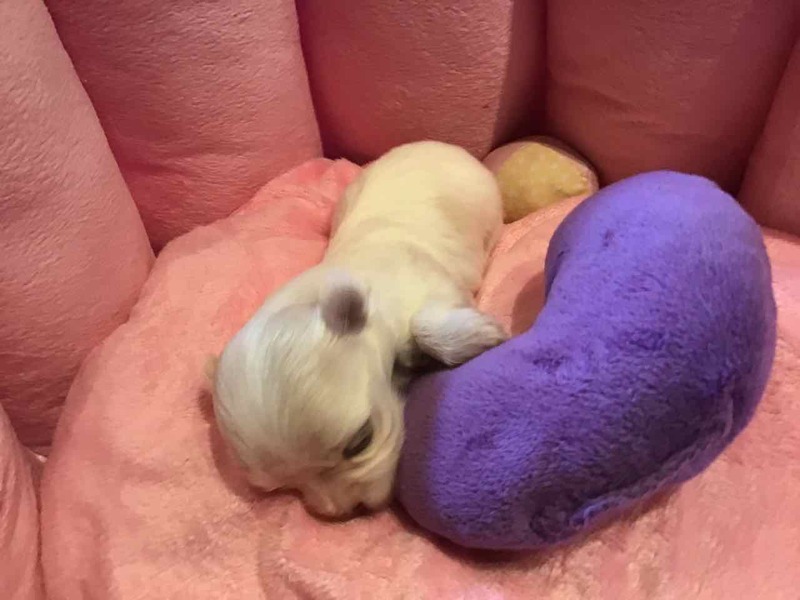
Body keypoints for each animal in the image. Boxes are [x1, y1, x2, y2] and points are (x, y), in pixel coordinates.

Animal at [212, 141, 507, 517]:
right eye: (280, 487)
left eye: (362, 441)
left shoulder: (433, 286)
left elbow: (425, 323)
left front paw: (481, 334)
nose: (342, 513)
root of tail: (433, 144)